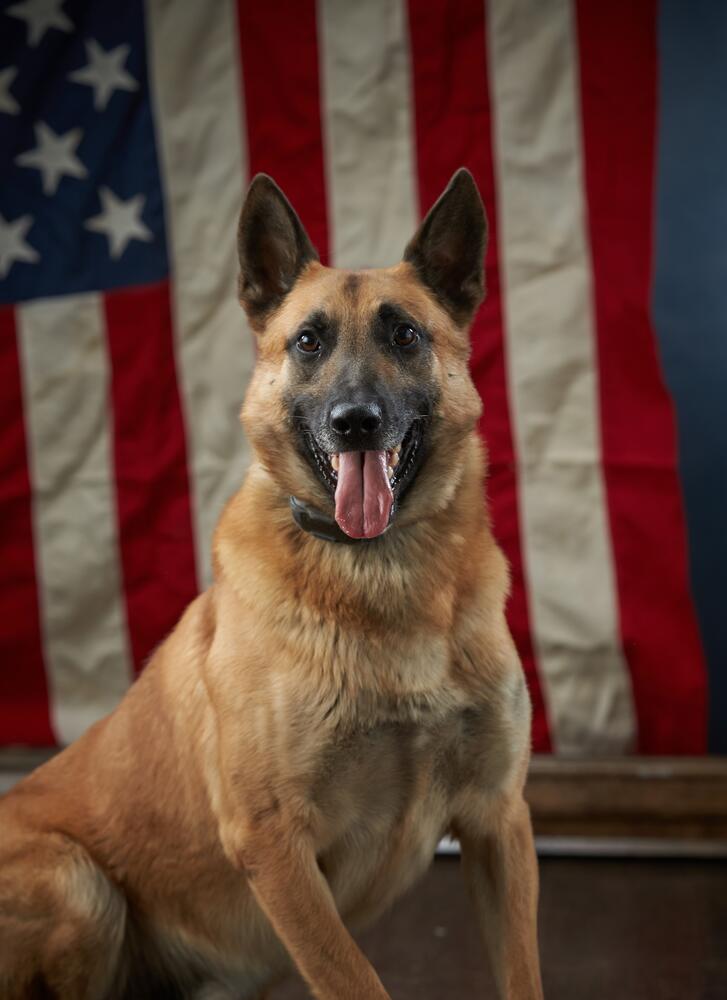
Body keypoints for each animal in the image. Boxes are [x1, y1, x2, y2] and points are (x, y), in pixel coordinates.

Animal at [0, 168, 544, 996]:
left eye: (405, 336)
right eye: (308, 341)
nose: (355, 421)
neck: (379, 571)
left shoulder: (498, 820)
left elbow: (520, 973)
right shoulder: (274, 843)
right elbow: (353, 978)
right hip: (77, 882)